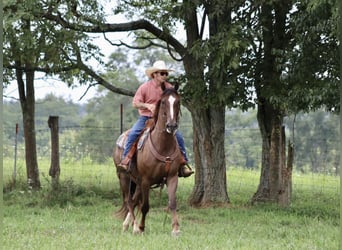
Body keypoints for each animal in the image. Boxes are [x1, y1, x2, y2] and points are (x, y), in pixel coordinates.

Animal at [113, 83, 183, 235]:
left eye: (178, 102)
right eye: (163, 102)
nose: (171, 126)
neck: (163, 145)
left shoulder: (172, 177)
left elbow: (172, 203)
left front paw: (175, 229)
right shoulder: (146, 180)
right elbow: (145, 206)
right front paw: (141, 227)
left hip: (137, 182)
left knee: (134, 201)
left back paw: (128, 225)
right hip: (124, 177)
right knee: (129, 201)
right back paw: (133, 226)